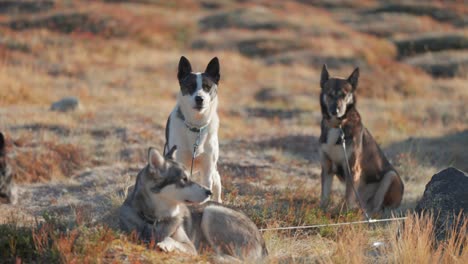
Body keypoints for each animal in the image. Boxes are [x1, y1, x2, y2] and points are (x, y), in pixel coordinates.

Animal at [119, 147, 268, 260]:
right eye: (184, 179)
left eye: (190, 177)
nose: (209, 192)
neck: (156, 219)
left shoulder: (190, 247)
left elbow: (171, 240)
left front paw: (165, 245)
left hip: (211, 212)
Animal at [165, 56, 223, 203]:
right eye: (190, 86)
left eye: (207, 87)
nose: (199, 99)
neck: (196, 126)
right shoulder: (178, 159)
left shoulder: (208, 167)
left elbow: (207, 187)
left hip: (215, 175)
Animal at [318, 64, 406, 214]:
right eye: (329, 93)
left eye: (344, 94)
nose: (335, 111)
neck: (338, 125)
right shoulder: (327, 167)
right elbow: (324, 196)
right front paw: (320, 212)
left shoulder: (353, 169)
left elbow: (348, 198)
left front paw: (343, 215)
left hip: (390, 176)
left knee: (377, 207)